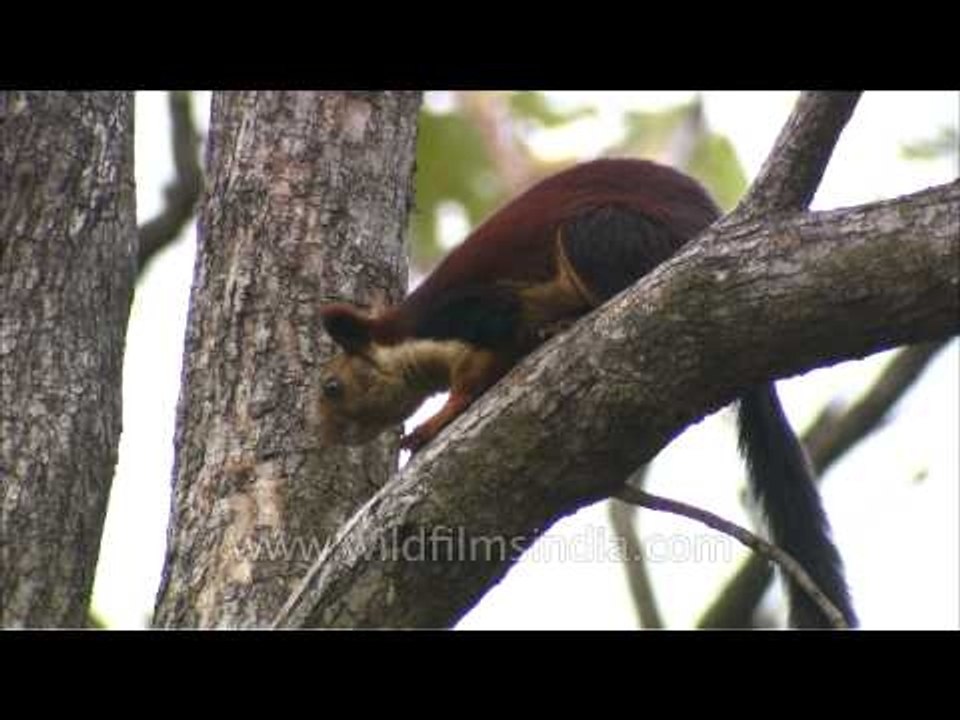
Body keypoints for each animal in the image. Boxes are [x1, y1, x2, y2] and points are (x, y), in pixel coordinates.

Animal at [317, 157, 857, 628]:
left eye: (332, 387)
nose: (327, 436)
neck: (410, 340)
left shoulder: (475, 312)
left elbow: (482, 362)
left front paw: (437, 419)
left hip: (603, 233)